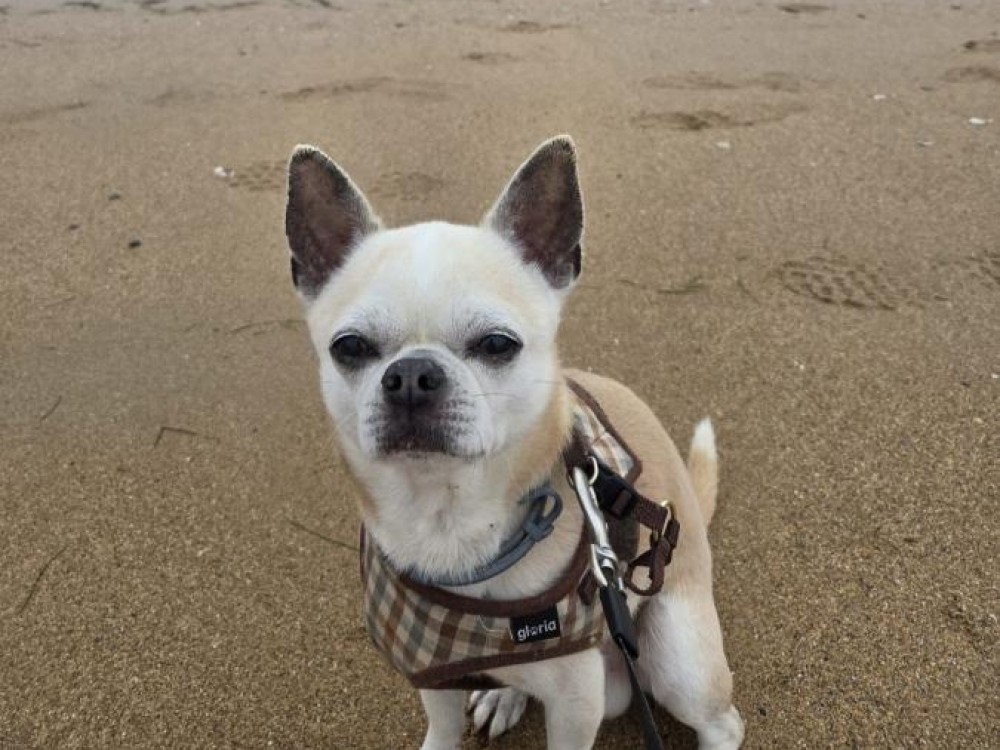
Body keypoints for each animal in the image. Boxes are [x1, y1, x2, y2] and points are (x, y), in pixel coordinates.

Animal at [283, 136, 744, 749]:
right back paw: (504, 695)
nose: (411, 375)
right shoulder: (433, 672)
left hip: (677, 659)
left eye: (498, 344)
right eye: (350, 347)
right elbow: (443, 728)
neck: (449, 521)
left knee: (722, 721)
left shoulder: (577, 702)